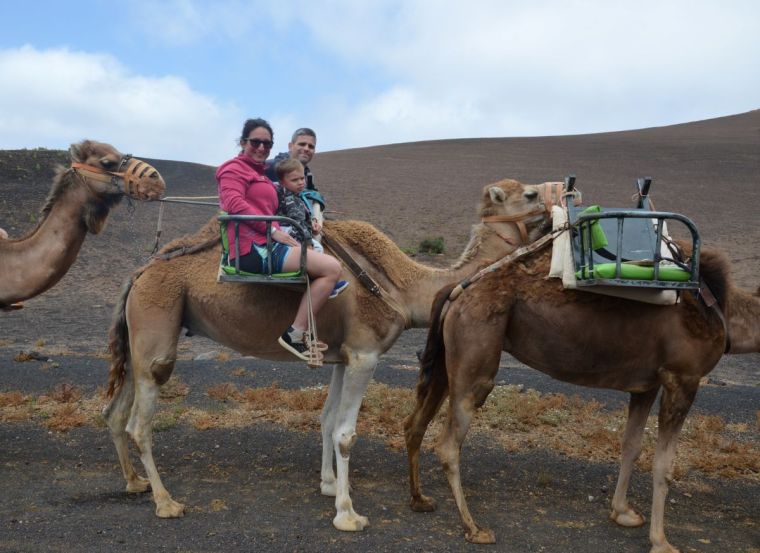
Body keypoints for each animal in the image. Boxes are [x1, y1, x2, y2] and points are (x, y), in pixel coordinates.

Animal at [101, 178, 562, 530]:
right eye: (531, 194)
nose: (566, 192)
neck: (404, 287)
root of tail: (139, 272)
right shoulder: (365, 355)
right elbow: (345, 432)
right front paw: (347, 513)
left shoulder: (343, 354)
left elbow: (326, 419)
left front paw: (328, 485)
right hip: (158, 322)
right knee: (141, 420)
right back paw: (166, 502)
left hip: (143, 333)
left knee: (116, 409)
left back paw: (134, 482)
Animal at [404, 241, 760, 552]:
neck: (721, 310)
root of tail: (456, 290)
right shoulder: (682, 378)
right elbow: (664, 464)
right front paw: (661, 541)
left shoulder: (646, 384)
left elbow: (631, 446)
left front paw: (623, 512)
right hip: (476, 356)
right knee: (448, 444)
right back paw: (473, 527)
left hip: (448, 358)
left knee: (414, 424)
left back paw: (420, 500)